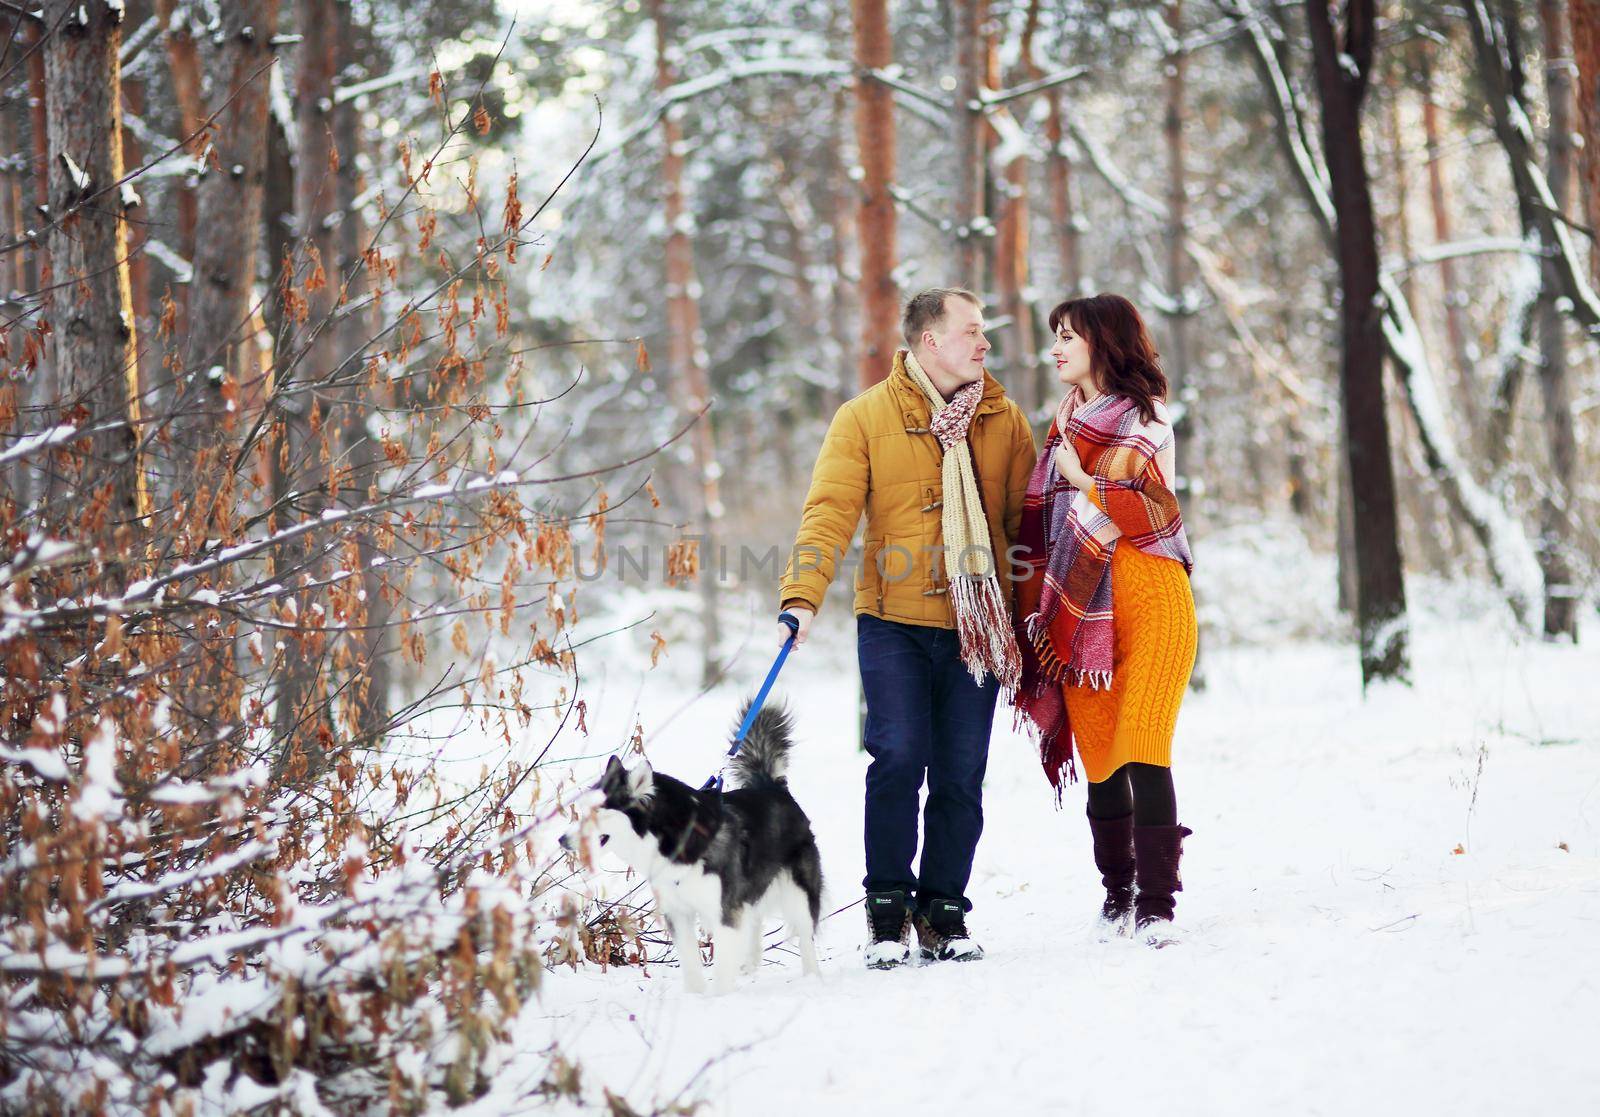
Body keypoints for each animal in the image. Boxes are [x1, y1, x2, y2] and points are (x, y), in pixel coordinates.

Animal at [560, 700, 825, 985]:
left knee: (805, 935)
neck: (674, 841)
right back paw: (750, 966)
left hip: (798, 893)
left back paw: (812, 978)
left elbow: (721, 973)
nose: (561, 840)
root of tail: (773, 788)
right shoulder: (678, 913)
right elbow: (691, 968)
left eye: (596, 813)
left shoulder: (724, 913)